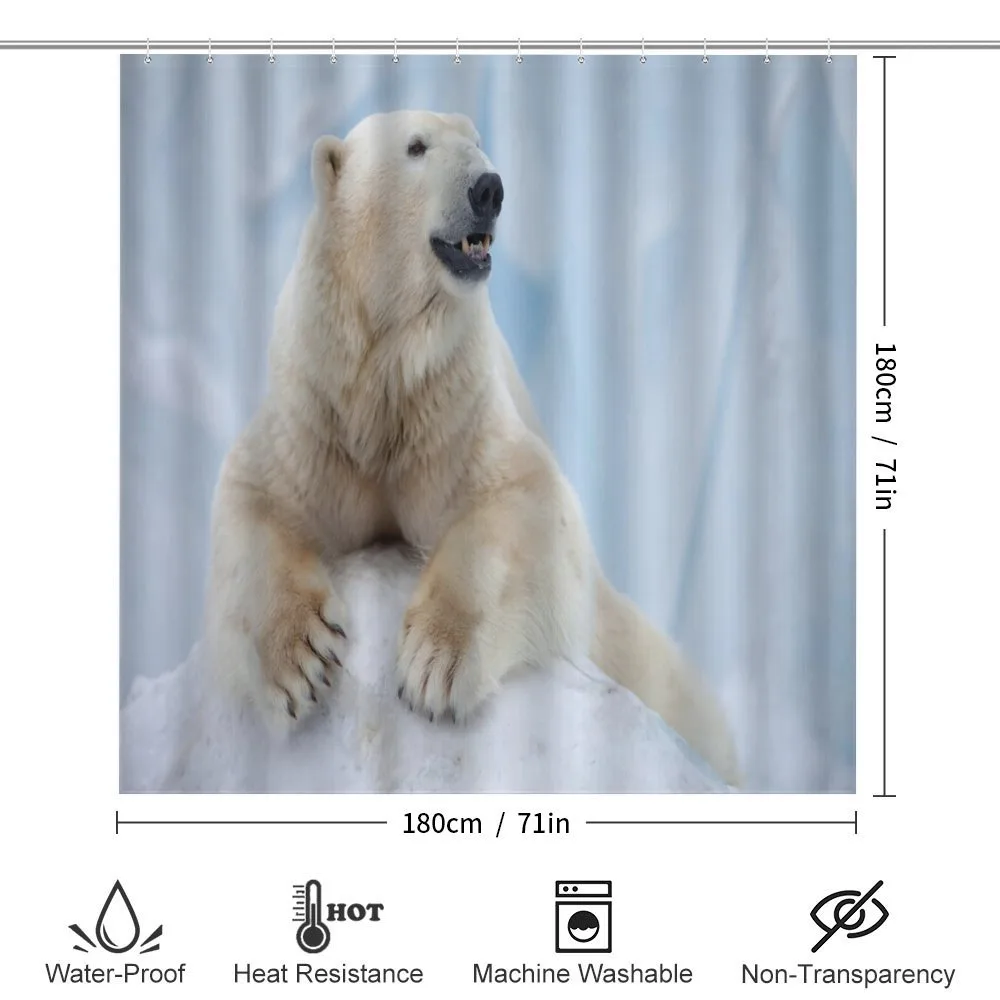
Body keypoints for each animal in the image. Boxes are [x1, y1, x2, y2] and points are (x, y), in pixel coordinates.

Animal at [205, 109, 740, 786]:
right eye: (415, 147)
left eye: (478, 141)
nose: (489, 188)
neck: (387, 367)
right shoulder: (318, 407)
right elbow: (255, 500)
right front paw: (301, 661)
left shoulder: (453, 402)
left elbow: (519, 499)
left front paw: (434, 665)